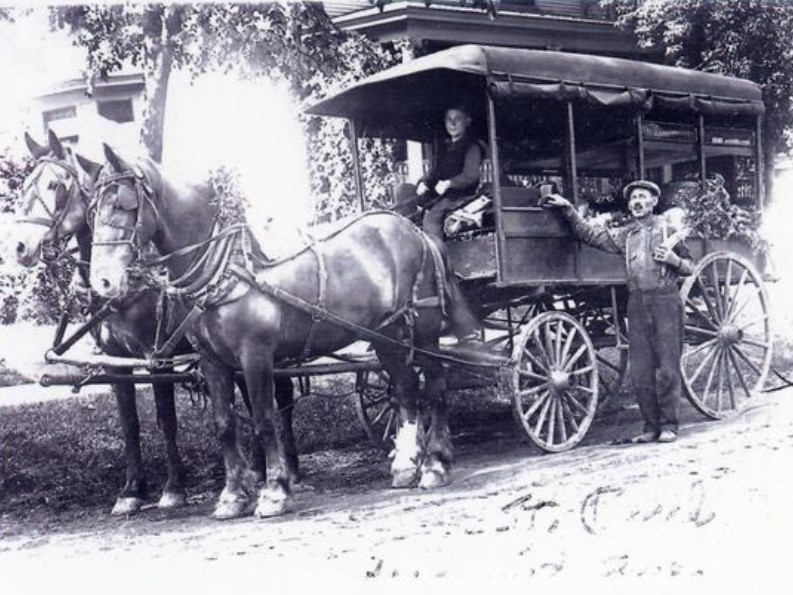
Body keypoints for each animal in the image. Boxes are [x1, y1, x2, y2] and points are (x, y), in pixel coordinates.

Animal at [17, 133, 296, 516]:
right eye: (26, 184)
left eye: (55, 185)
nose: (19, 247)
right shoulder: (116, 361)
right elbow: (130, 424)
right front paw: (131, 490)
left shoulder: (156, 357)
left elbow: (166, 420)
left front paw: (173, 488)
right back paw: (258, 470)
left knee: (279, 396)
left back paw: (287, 468)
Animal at [86, 144, 470, 520]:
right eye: (92, 212)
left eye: (123, 205)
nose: (102, 282)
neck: (228, 267)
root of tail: (416, 232)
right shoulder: (212, 361)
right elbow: (224, 424)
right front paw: (232, 496)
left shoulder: (255, 355)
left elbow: (264, 420)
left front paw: (274, 492)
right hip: (384, 334)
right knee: (405, 387)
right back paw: (406, 465)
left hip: (423, 329)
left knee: (434, 385)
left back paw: (436, 464)